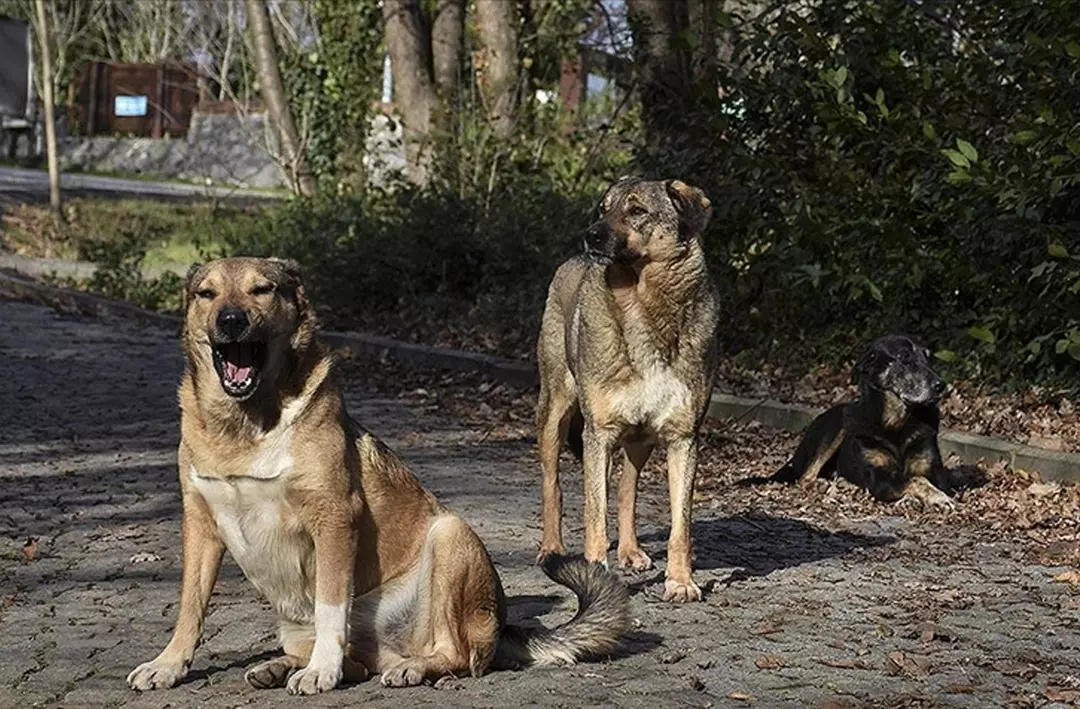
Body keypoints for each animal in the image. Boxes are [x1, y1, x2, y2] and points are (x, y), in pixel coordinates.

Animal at [126, 257, 630, 696]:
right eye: (206, 294)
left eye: (261, 289)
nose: (230, 320)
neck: (246, 425)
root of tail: (504, 626)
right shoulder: (200, 524)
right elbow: (190, 606)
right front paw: (168, 664)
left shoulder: (334, 518)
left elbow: (331, 607)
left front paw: (321, 673)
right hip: (295, 623)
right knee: (357, 661)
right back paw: (281, 666)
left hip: (450, 536)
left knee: (455, 655)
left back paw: (408, 668)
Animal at [533, 178, 717, 605]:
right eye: (603, 208)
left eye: (636, 211)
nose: (591, 235)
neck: (644, 304)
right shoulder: (597, 435)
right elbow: (594, 515)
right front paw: (595, 576)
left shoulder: (683, 438)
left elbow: (679, 526)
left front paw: (680, 581)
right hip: (555, 414)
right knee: (553, 485)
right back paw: (552, 548)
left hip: (640, 440)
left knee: (627, 490)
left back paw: (631, 551)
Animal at [768, 332, 954, 510]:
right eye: (904, 358)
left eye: (928, 358)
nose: (941, 385)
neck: (895, 422)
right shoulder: (878, 477)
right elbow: (917, 480)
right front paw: (937, 498)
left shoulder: (933, 471)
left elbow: (920, 479)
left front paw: (915, 499)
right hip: (837, 426)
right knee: (806, 476)